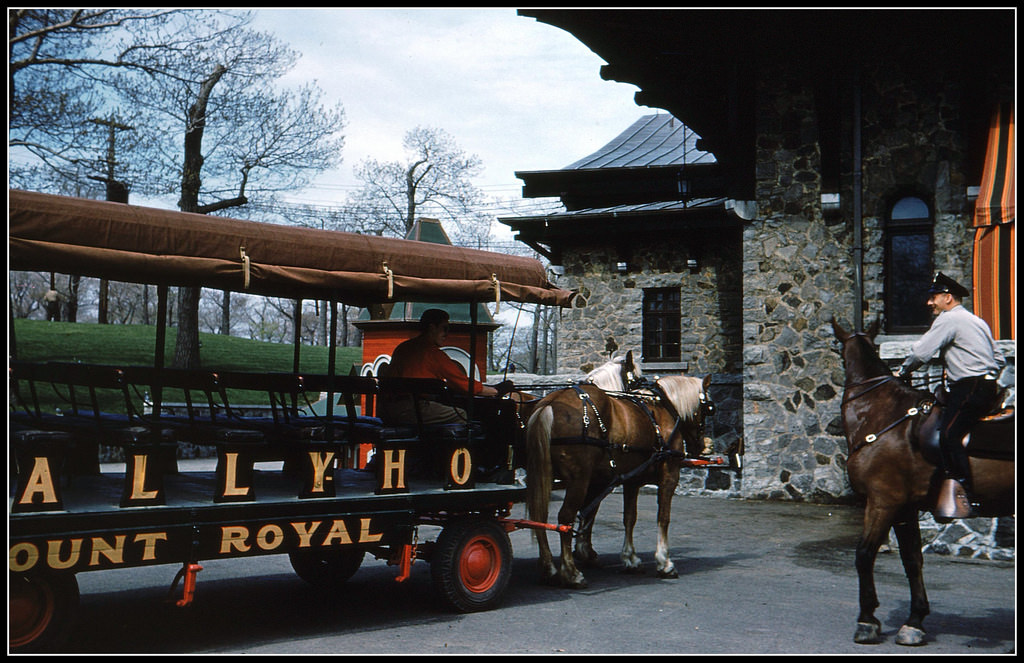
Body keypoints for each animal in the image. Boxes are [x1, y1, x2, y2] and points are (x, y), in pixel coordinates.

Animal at [831, 319, 1015, 647]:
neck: (881, 415)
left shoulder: (883, 502)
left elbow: (864, 555)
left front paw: (867, 620)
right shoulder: (904, 509)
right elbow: (912, 559)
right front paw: (915, 621)